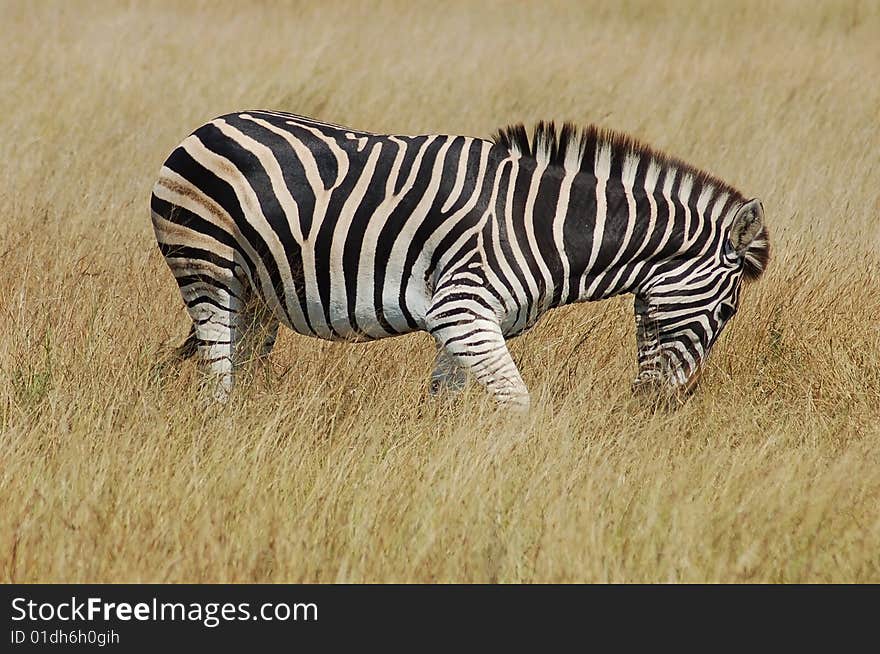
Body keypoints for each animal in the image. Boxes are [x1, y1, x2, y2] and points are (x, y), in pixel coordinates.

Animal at [151, 112, 768, 410]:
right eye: (728, 311)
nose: (661, 406)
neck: (546, 228)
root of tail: (210, 124)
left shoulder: (463, 324)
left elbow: (444, 405)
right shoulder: (463, 309)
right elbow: (517, 404)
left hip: (256, 290)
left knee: (243, 366)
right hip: (205, 263)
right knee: (217, 377)